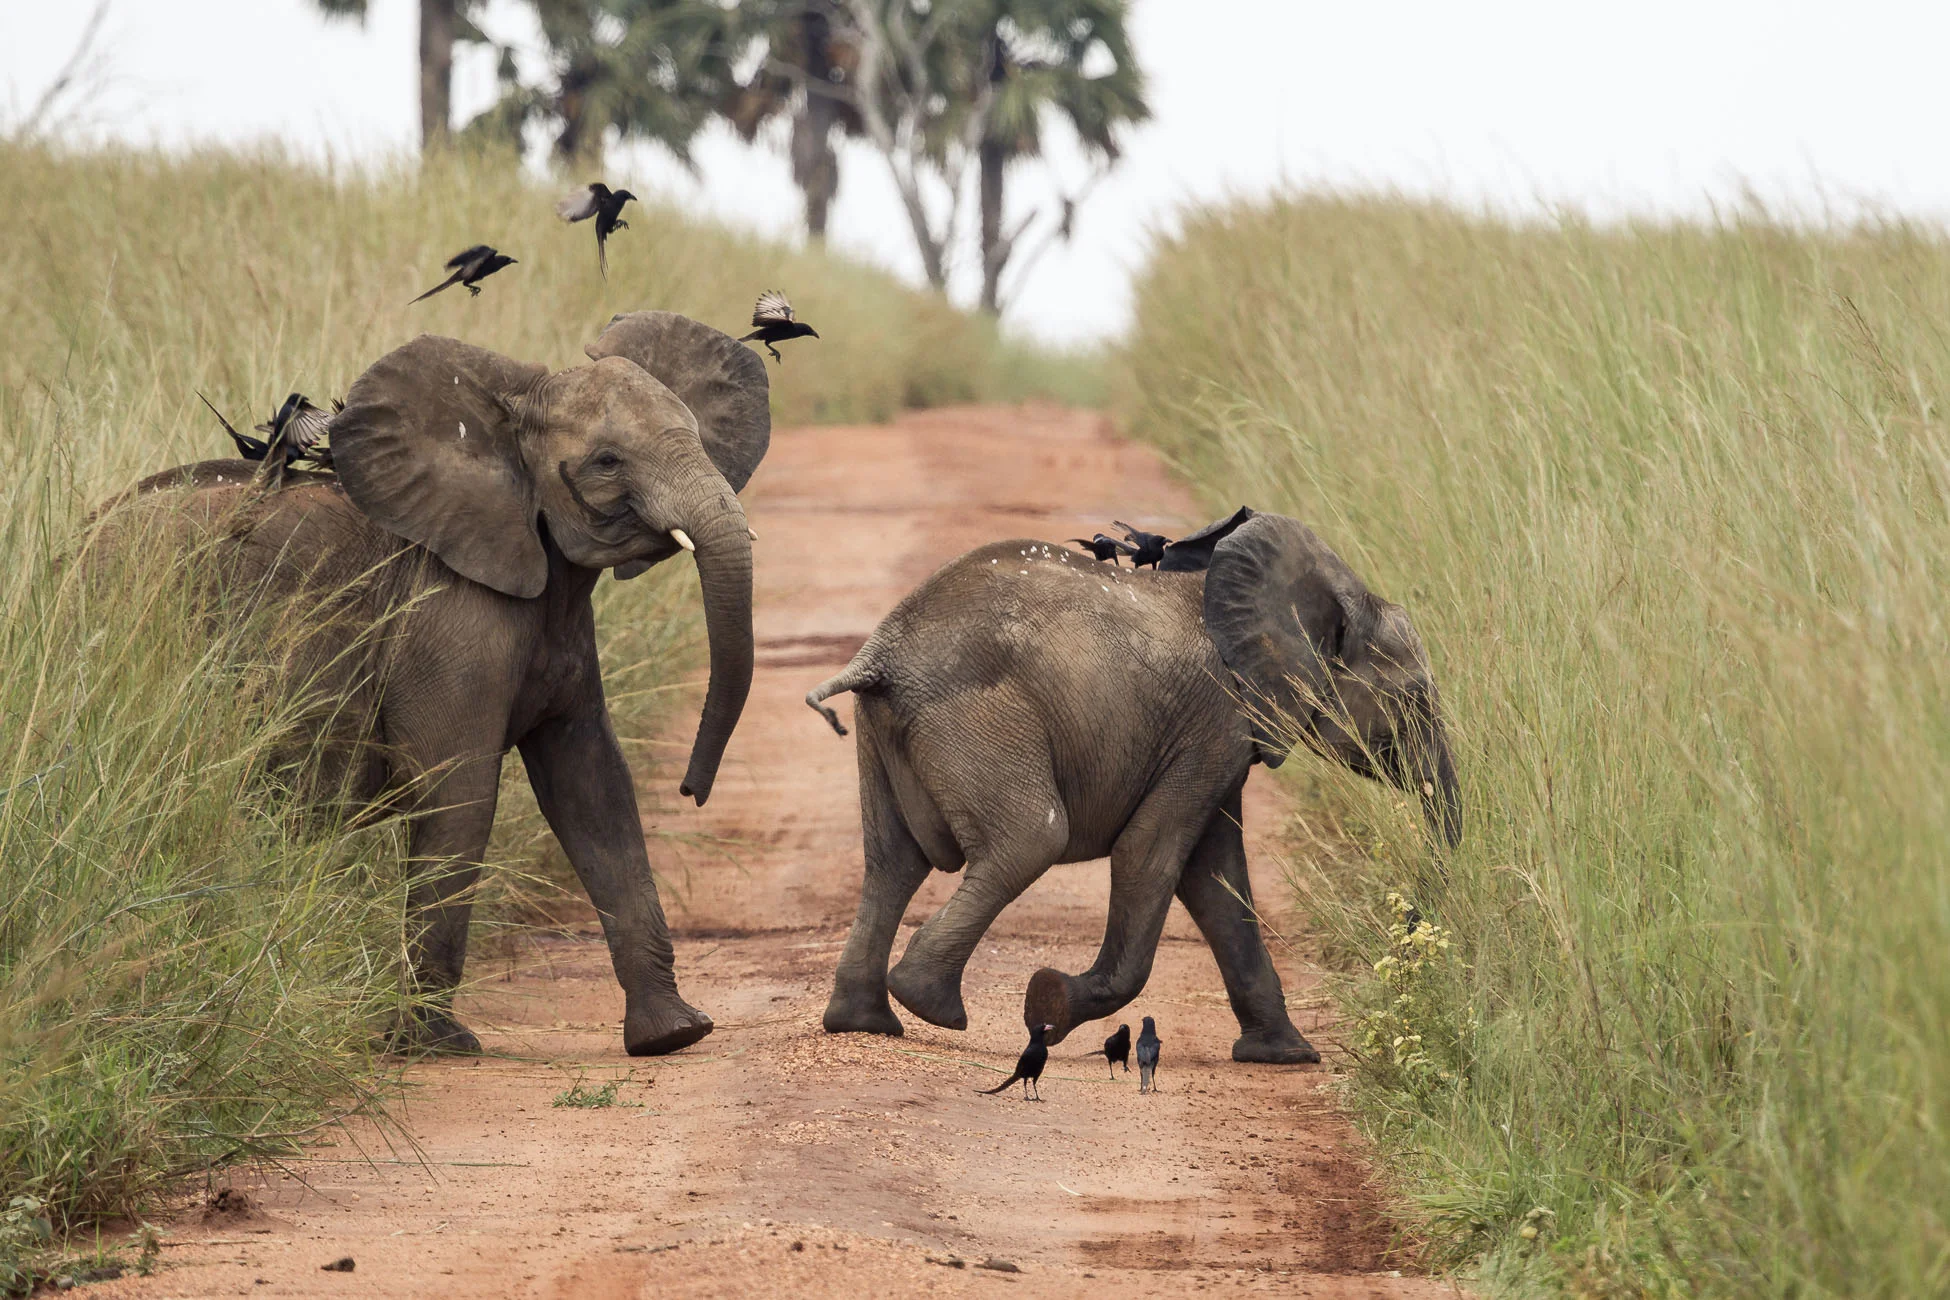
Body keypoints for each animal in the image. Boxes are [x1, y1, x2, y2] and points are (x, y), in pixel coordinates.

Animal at [92, 311, 767, 1057]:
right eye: (607, 461)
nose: (690, 790)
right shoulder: (445, 615)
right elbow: (457, 787)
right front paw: (434, 1044)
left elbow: (595, 788)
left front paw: (672, 1035)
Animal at [805, 508, 1459, 1064]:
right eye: (1413, 697)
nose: (1413, 926)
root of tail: (879, 656)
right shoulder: (1214, 724)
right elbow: (1152, 854)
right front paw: (1049, 1005)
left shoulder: (1217, 738)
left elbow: (1215, 876)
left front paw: (1287, 1057)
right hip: (976, 720)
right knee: (1028, 842)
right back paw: (931, 1007)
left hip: (888, 733)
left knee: (892, 863)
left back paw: (865, 1022)